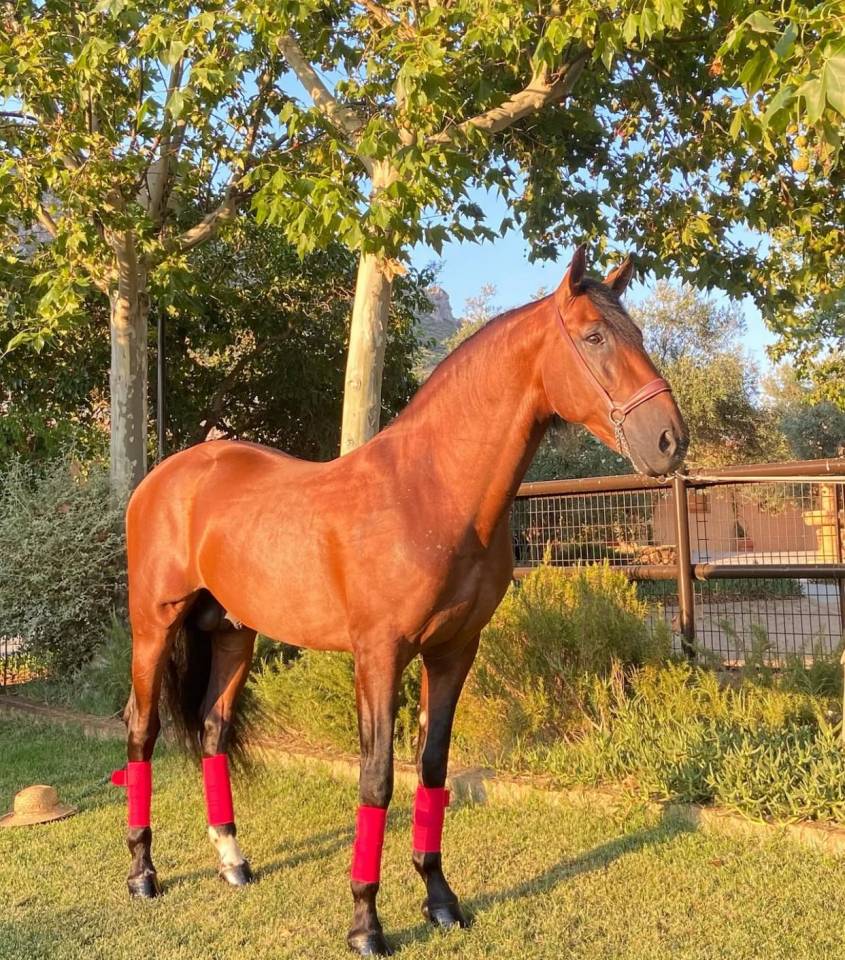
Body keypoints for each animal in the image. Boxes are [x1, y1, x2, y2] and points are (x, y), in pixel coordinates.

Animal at [116, 245, 687, 956]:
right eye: (593, 337)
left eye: (636, 333)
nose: (670, 439)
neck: (430, 492)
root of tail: (165, 476)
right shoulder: (379, 656)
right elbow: (378, 777)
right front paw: (366, 923)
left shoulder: (453, 652)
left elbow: (433, 768)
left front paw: (440, 899)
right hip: (153, 627)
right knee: (141, 731)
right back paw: (143, 874)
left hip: (232, 634)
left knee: (214, 730)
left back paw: (233, 862)